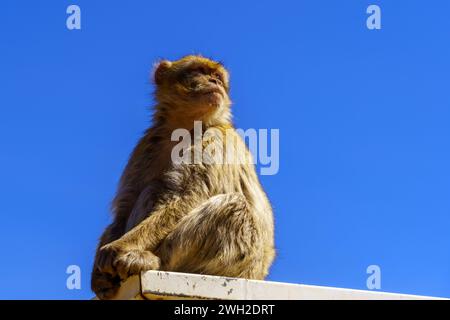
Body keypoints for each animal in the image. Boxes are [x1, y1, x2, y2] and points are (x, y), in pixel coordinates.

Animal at [91, 55, 274, 300]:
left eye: (217, 76)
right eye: (200, 71)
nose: (215, 82)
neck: (185, 127)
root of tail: (258, 274)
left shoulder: (214, 138)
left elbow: (187, 197)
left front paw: (120, 247)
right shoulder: (147, 144)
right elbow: (124, 208)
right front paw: (98, 275)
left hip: (238, 260)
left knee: (232, 205)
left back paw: (150, 260)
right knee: (151, 189)